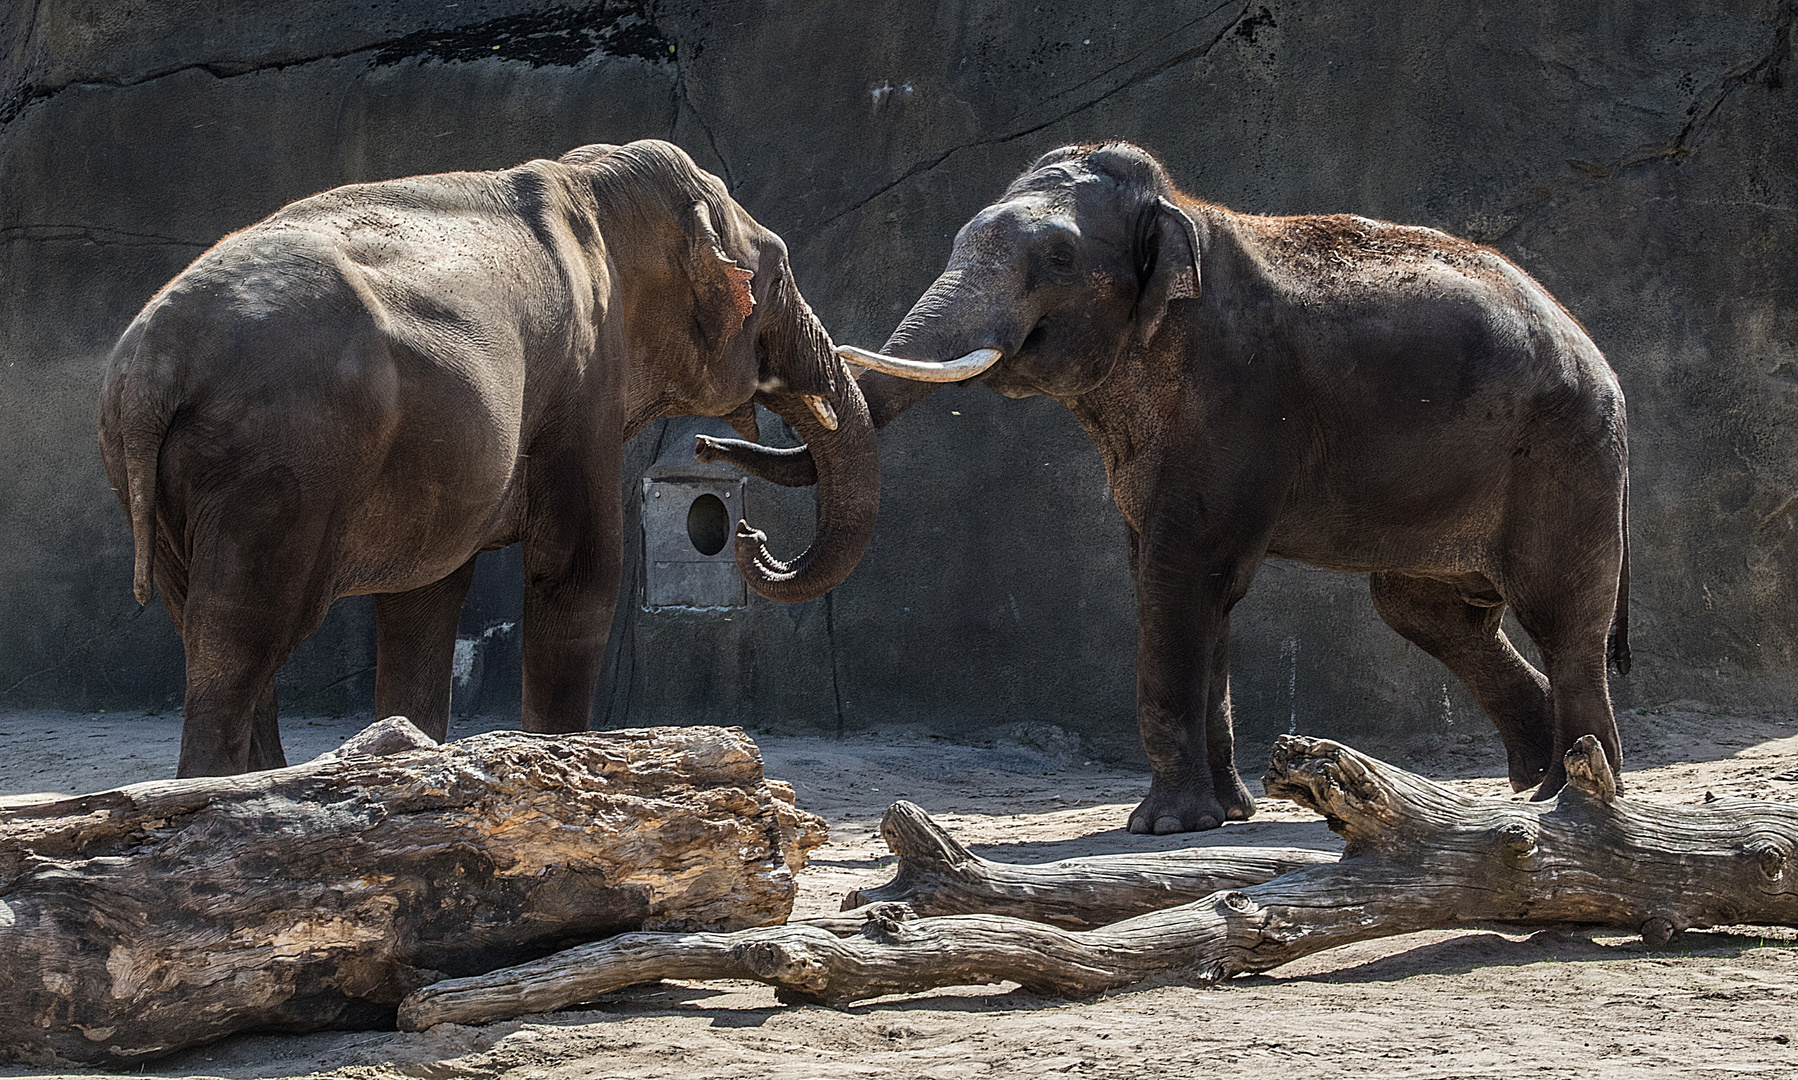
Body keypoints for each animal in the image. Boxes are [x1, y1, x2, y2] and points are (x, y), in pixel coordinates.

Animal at [100, 141, 877, 776]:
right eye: (775, 277)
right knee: (238, 640)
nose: (747, 534)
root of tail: (151, 366)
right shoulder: (580, 384)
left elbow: (427, 595)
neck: (595, 186)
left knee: (206, 630)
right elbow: (579, 574)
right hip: (280, 465)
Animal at [701, 141, 1632, 833]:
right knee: (1431, 611)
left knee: (1559, 616)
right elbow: (1189, 583)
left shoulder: (1236, 396)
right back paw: (1537, 783)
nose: (741, 532)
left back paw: (1573, 797)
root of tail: (1592, 347)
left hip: (1564, 455)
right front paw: (1226, 814)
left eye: (1058, 257)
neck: (1184, 212)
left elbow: (1180, 573)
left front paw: (1161, 827)